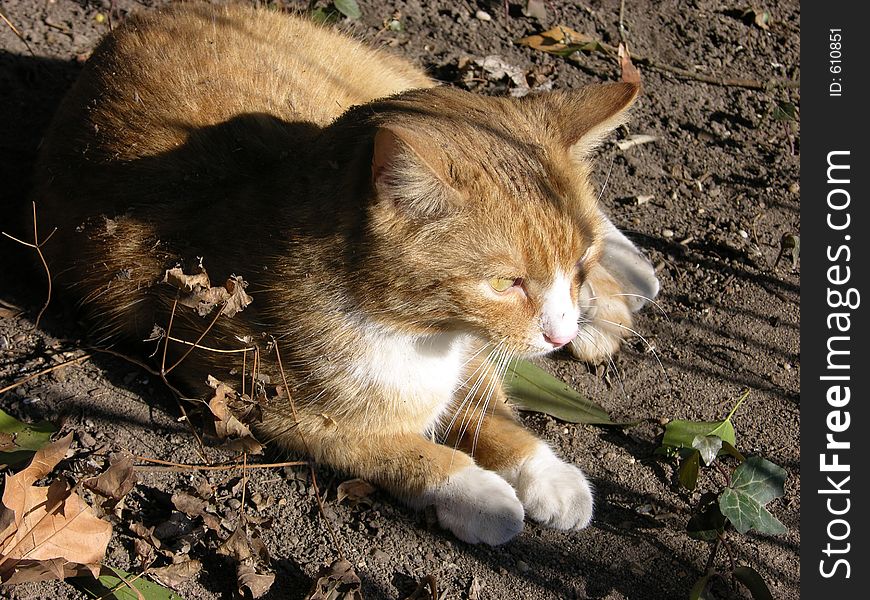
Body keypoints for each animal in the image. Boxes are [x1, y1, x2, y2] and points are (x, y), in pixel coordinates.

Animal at [34, 1, 660, 544]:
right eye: (506, 283)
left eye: (576, 265)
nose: (559, 334)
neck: (423, 334)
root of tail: (151, 12)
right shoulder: (272, 408)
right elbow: (392, 447)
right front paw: (480, 494)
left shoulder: (474, 365)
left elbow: (491, 416)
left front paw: (548, 476)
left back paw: (625, 288)